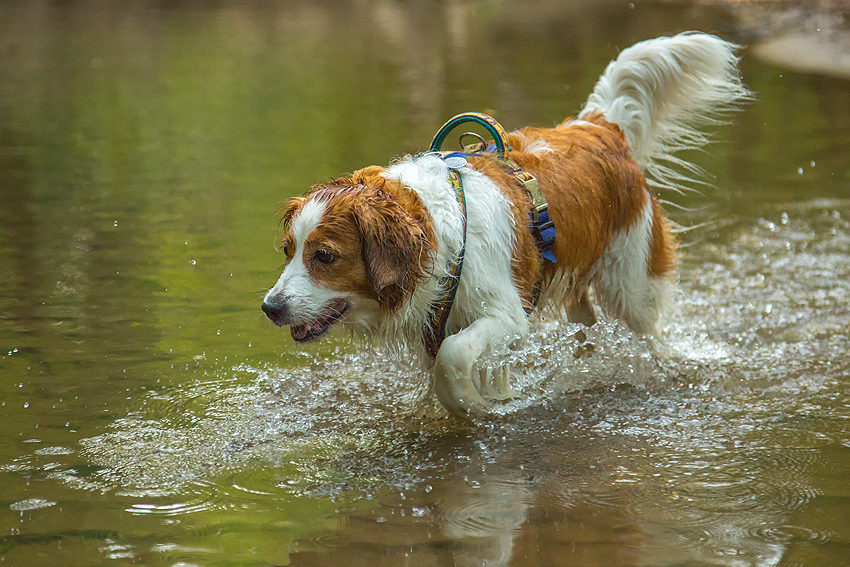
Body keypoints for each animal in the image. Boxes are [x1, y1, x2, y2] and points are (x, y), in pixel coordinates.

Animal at [260, 34, 748, 418]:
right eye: (287, 251)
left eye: (325, 256)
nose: (269, 308)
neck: (441, 240)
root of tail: (597, 127)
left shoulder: (507, 317)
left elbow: (454, 358)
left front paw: (476, 405)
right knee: (587, 328)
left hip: (632, 284)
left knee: (650, 333)